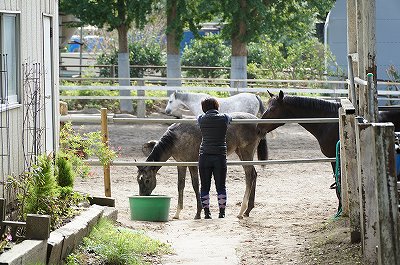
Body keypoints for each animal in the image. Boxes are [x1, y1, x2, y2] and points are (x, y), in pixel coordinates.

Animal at [136, 112, 268, 219]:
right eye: (138, 180)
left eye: (147, 180)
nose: (142, 196)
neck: (176, 138)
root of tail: (257, 121)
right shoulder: (181, 164)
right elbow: (180, 186)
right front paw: (177, 213)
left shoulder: (192, 164)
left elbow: (195, 185)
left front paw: (198, 213)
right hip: (240, 152)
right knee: (254, 174)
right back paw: (248, 210)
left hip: (246, 153)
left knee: (249, 176)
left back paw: (241, 211)